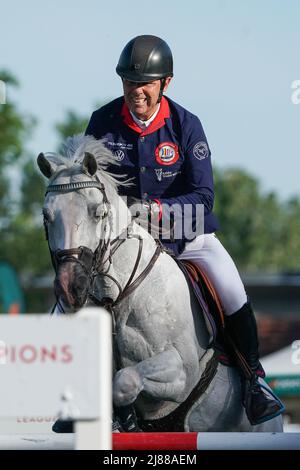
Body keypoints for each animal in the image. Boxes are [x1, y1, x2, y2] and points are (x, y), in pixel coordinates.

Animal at [37, 134, 282, 432]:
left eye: (99, 213)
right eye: (46, 215)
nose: (71, 287)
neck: (115, 296)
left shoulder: (182, 370)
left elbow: (125, 380)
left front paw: (127, 422)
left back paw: (260, 399)